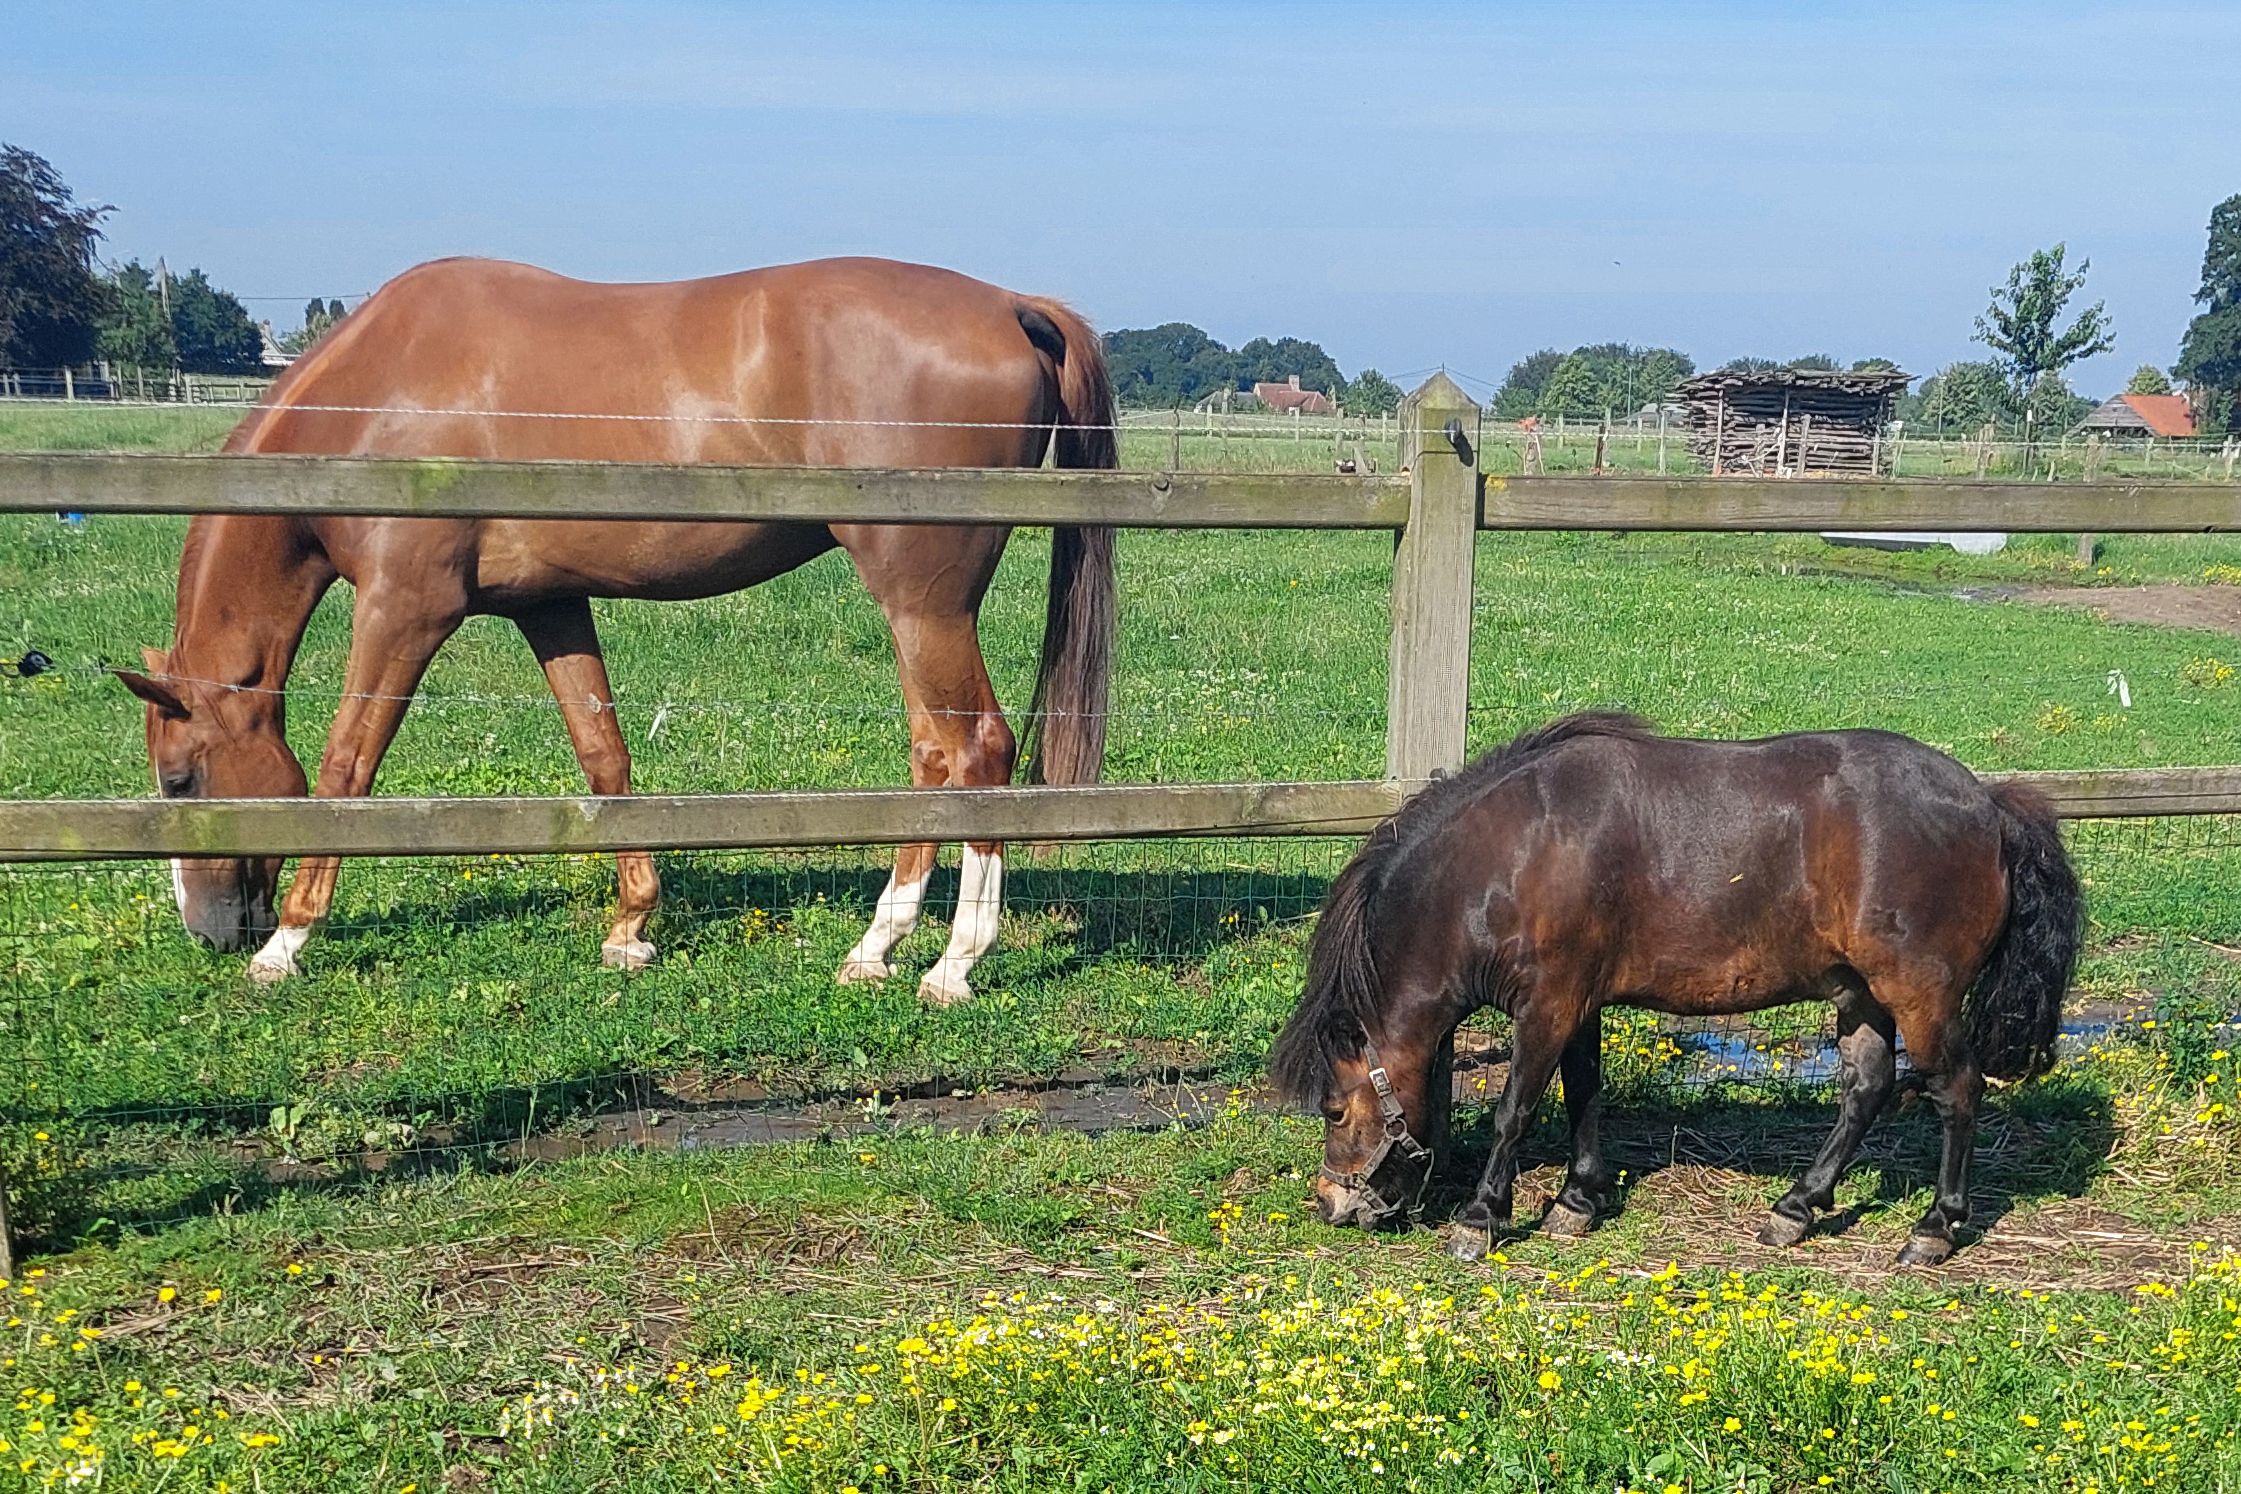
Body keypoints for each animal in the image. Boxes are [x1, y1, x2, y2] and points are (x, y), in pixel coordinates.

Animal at [111, 256, 1117, 1006]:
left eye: (180, 777)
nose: (208, 929)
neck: (376, 396)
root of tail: (1010, 305)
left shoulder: (402, 611)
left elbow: (345, 768)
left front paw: (285, 943)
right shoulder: (548, 606)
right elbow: (603, 755)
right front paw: (631, 925)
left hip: (923, 603)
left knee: (977, 751)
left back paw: (954, 962)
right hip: (915, 610)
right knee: (933, 758)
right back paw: (877, 946)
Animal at [1270, 713, 2082, 1268]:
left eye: (1335, 1110)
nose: (1331, 1204)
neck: (1514, 857)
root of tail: (1989, 805)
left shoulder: (1547, 1005)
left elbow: (1513, 1110)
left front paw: (1482, 1217)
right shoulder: (1580, 1003)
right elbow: (1583, 1093)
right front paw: (1577, 1200)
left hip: (1919, 994)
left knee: (1958, 1092)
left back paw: (1934, 1229)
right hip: (1859, 993)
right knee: (1867, 1088)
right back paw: (1796, 1208)